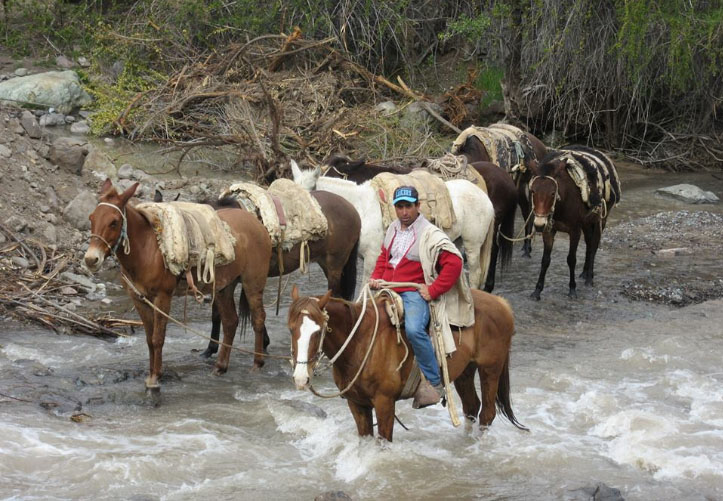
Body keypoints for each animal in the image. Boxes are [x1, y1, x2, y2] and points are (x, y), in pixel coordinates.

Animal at [82, 178, 274, 392]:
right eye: (92, 218)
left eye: (114, 222)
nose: (91, 259)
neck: (147, 249)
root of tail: (257, 223)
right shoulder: (140, 299)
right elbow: (149, 339)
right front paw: (151, 374)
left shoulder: (163, 297)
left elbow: (158, 338)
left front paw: (155, 379)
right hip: (224, 287)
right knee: (231, 322)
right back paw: (220, 367)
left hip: (253, 283)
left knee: (258, 319)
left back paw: (257, 363)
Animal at [288, 286, 528, 442]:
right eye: (291, 328)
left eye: (318, 330)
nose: (301, 378)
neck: (360, 341)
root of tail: (501, 303)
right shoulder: (357, 404)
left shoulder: (384, 402)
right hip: (464, 372)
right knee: (471, 407)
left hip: (490, 369)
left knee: (487, 413)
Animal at [452, 124, 548, 256]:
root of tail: (543, 147)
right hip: (520, 189)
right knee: (525, 212)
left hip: (530, 185)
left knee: (530, 213)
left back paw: (527, 248)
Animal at [528, 146, 624, 298]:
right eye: (532, 191)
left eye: (552, 193)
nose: (538, 224)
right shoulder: (549, 230)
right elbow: (545, 260)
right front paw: (537, 290)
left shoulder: (574, 231)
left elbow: (571, 259)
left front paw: (572, 289)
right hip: (586, 223)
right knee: (589, 244)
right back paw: (584, 272)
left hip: (600, 220)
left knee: (594, 245)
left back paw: (589, 277)